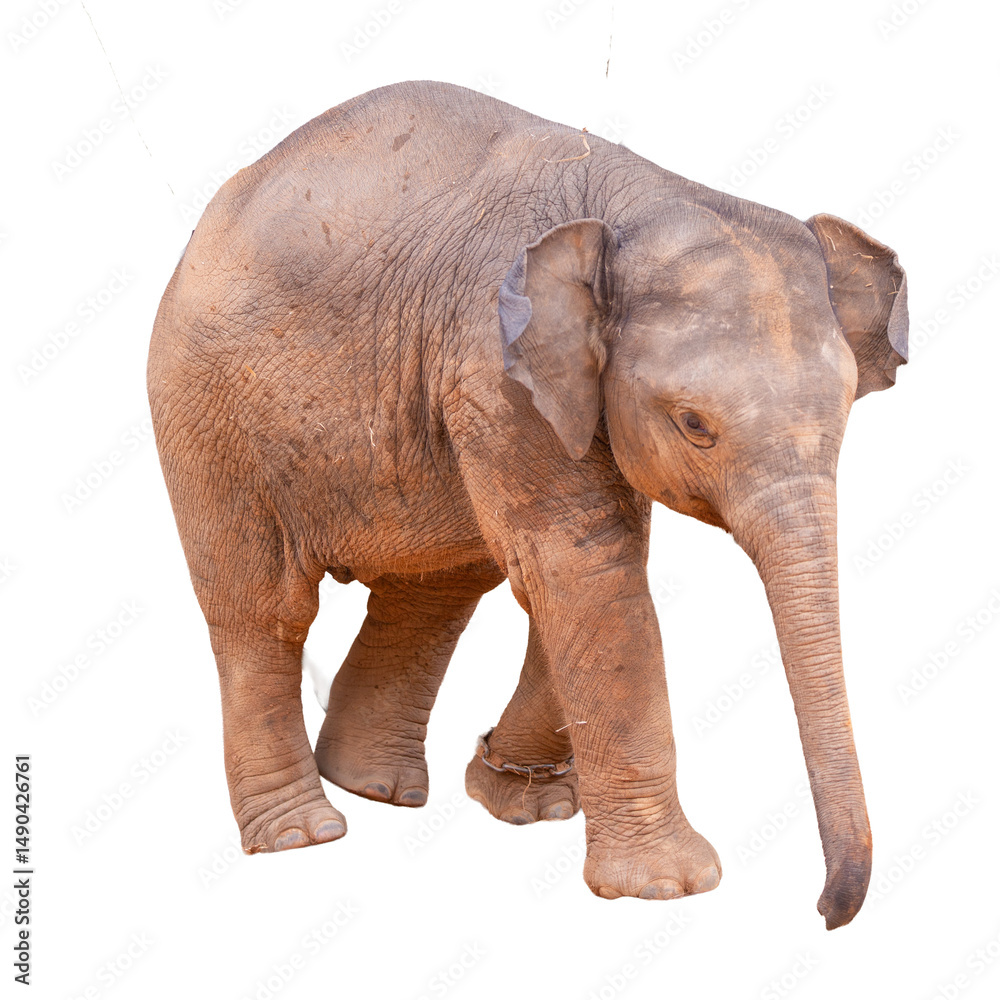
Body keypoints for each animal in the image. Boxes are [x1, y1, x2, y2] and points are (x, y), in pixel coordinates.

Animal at [147, 80, 907, 929]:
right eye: (694, 424)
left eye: (845, 409)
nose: (826, 910)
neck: (642, 199)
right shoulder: (493, 367)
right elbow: (584, 563)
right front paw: (668, 887)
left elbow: (581, 565)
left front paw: (523, 803)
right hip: (204, 413)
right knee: (263, 608)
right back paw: (305, 834)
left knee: (436, 589)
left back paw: (378, 789)